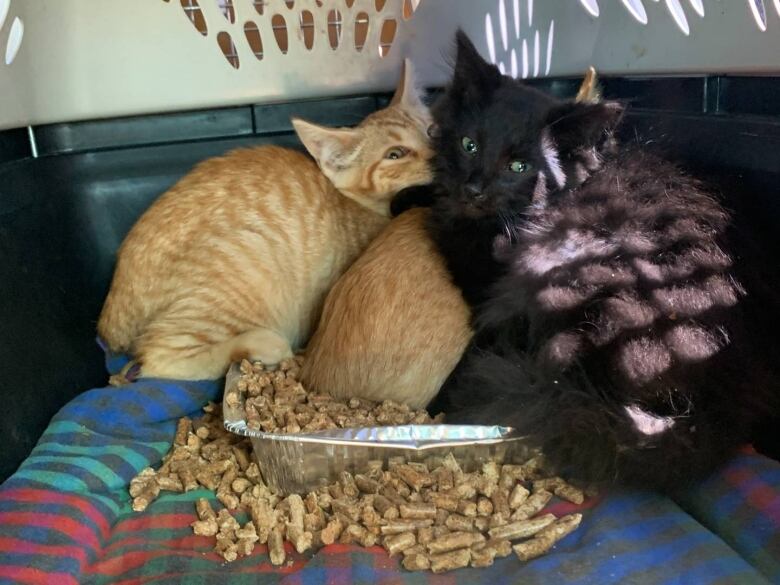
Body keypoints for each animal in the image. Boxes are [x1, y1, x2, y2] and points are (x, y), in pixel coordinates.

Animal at [97, 59, 432, 378]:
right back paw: (261, 344)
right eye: (395, 154)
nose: (437, 154)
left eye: (431, 131)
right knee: (157, 356)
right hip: (245, 263)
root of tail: (112, 322)